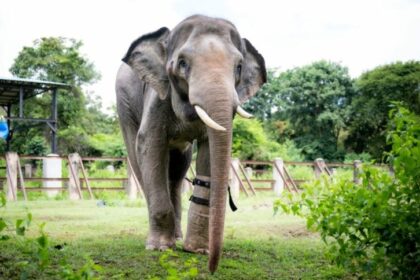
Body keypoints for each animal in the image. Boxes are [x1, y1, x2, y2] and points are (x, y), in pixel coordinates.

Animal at [115, 14, 266, 272]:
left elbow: (208, 150)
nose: (212, 268)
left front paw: (196, 250)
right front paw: (159, 248)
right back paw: (161, 240)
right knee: (139, 161)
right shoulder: (158, 94)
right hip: (123, 103)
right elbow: (149, 144)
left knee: (177, 172)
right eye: (183, 63)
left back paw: (176, 237)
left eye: (238, 67)